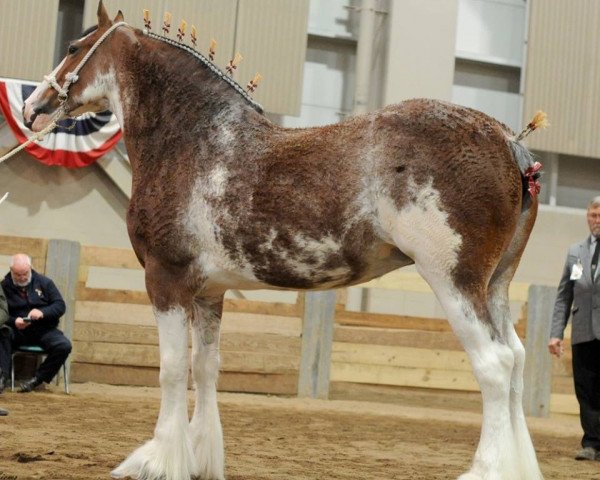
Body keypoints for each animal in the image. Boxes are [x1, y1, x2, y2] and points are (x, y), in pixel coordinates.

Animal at [23, 3, 548, 480]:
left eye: (73, 48)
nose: (32, 109)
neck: (195, 142)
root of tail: (508, 142)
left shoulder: (165, 280)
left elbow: (171, 369)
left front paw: (157, 461)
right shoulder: (209, 293)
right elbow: (205, 368)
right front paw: (200, 459)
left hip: (453, 280)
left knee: (494, 365)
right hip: (496, 285)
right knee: (518, 363)